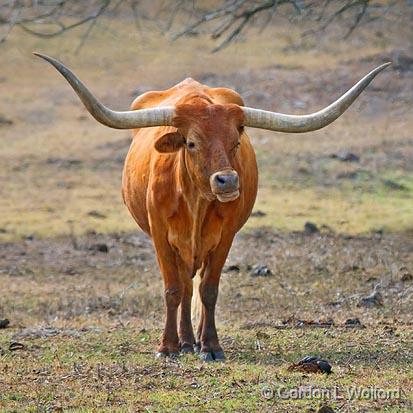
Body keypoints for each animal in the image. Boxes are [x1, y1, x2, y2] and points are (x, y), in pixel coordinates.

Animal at [35, 53, 390, 358]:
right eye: (192, 143)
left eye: (236, 141)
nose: (228, 182)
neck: (195, 201)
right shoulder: (160, 235)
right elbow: (173, 289)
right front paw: (167, 347)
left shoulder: (225, 237)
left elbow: (209, 290)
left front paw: (210, 346)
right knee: (183, 287)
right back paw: (183, 341)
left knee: (196, 286)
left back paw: (194, 342)